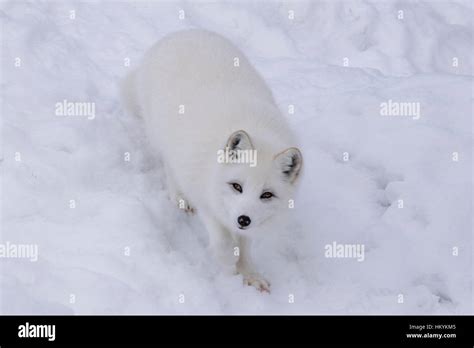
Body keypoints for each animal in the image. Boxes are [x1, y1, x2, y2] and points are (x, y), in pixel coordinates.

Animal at [120, 29, 302, 292]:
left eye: (267, 194)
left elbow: (245, 246)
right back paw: (179, 197)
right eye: (236, 186)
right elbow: (224, 242)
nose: (243, 219)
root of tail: (180, 33)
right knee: (169, 165)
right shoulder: (205, 197)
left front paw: (249, 273)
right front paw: (227, 262)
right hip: (164, 138)